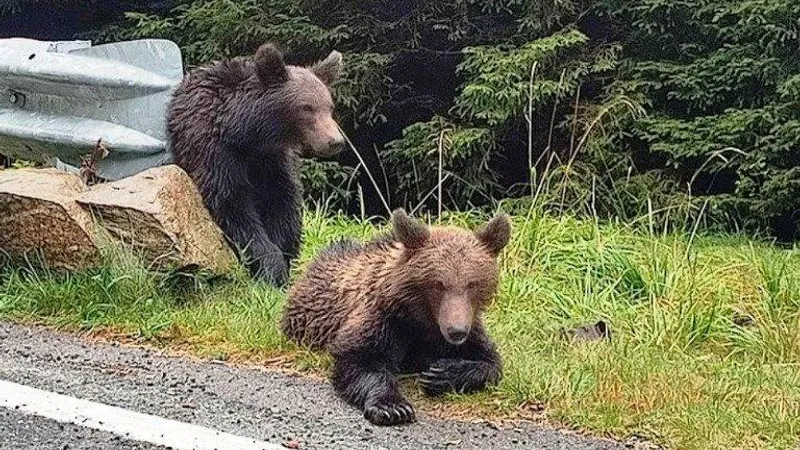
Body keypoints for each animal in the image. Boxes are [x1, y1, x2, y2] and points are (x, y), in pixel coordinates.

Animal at [169, 44, 344, 286]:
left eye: (329, 106)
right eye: (306, 107)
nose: (335, 141)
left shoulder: (274, 160)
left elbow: (281, 202)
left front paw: (283, 260)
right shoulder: (213, 150)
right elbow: (232, 205)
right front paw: (272, 267)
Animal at [282, 207, 510, 426]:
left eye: (472, 283)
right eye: (438, 284)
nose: (457, 331)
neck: (422, 319)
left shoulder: (466, 326)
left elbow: (490, 361)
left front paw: (441, 373)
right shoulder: (384, 320)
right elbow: (362, 359)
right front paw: (392, 408)